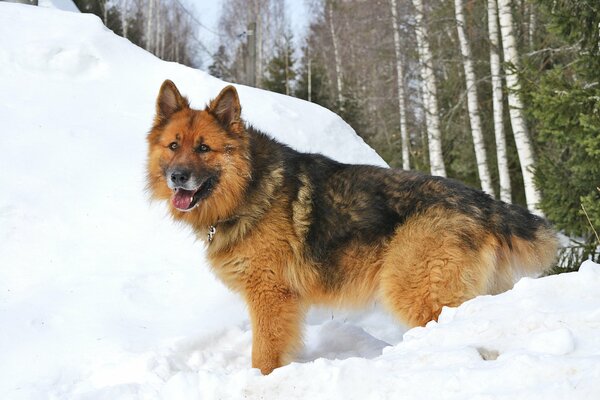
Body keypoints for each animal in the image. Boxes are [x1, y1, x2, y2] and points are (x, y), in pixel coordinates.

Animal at [145, 81, 556, 376]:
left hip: (414, 290)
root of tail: (483, 201)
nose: (177, 177)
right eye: (173, 145)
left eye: (204, 148)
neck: (248, 186)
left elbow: (264, 355)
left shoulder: (270, 296)